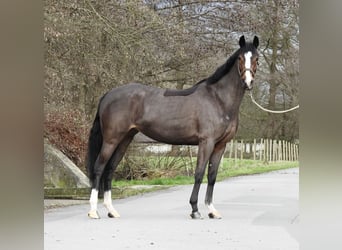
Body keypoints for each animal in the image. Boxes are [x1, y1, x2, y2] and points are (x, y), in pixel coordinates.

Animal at [87, 35, 258, 219]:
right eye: (240, 58)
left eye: (256, 58)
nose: (248, 82)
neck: (218, 99)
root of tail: (108, 95)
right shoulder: (206, 142)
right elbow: (199, 173)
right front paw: (195, 210)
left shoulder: (221, 145)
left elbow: (212, 176)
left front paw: (212, 210)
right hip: (111, 140)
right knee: (99, 168)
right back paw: (93, 211)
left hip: (125, 139)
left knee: (110, 169)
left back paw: (111, 210)